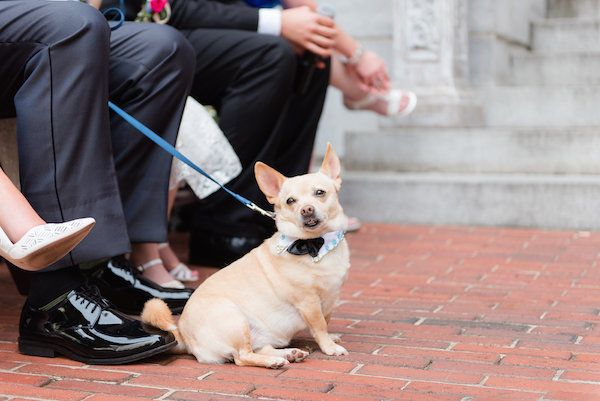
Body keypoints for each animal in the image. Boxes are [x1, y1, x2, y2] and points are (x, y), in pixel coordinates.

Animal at [143, 145, 350, 368]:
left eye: (320, 193)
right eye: (290, 201)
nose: (306, 209)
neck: (317, 245)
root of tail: (183, 334)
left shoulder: (330, 298)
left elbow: (326, 320)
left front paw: (331, 338)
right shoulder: (309, 303)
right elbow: (319, 326)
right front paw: (329, 347)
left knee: (259, 348)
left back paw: (288, 354)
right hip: (235, 320)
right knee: (242, 357)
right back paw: (274, 361)